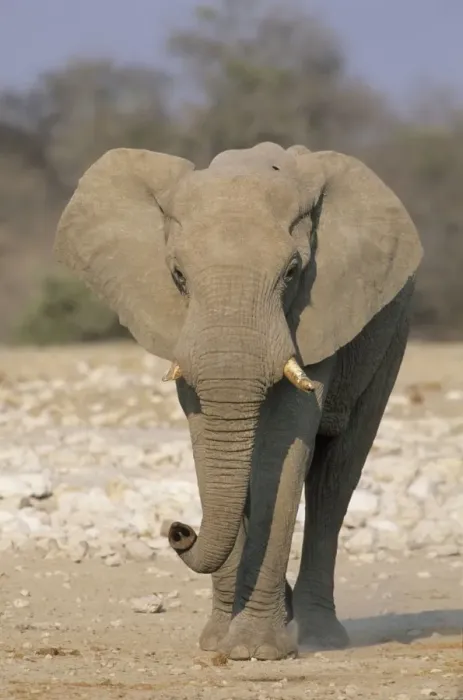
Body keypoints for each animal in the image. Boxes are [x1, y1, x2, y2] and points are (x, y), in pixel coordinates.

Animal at [53, 141, 423, 661]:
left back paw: (320, 637)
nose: (179, 530)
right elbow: (209, 441)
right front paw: (218, 643)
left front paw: (256, 651)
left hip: (392, 332)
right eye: (178, 275)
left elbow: (280, 450)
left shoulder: (316, 315)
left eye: (292, 272)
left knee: (337, 474)